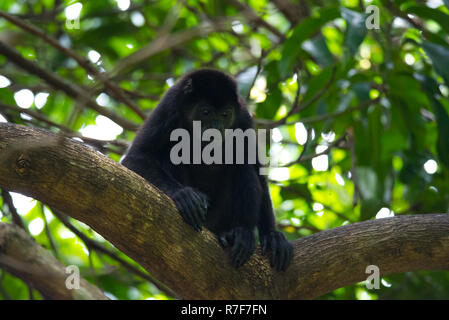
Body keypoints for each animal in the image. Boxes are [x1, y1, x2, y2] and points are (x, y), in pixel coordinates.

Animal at [121, 69, 292, 272]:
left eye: (225, 114)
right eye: (205, 112)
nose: (215, 130)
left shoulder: (243, 117)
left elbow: (257, 169)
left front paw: (272, 235)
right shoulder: (169, 106)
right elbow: (137, 155)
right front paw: (183, 194)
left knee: (243, 164)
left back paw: (238, 233)